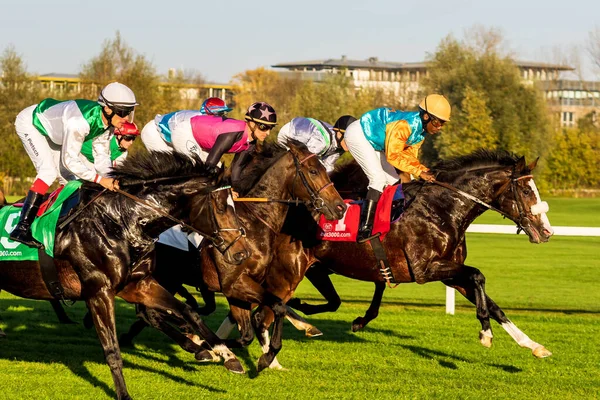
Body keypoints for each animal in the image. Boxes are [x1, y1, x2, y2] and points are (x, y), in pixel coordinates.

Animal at [0, 151, 248, 400]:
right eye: (220, 207)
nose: (242, 252)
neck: (120, 222)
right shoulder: (99, 293)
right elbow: (112, 349)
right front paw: (123, 394)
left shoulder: (139, 284)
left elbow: (188, 311)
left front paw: (226, 355)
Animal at [122, 141, 344, 372]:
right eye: (313, 171)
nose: (340, 207)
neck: (253, 225)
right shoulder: (233, 284)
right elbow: (277, 307)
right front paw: (244, 353)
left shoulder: (241, 289)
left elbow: (248, 333)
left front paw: (225, 350)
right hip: (161, 278)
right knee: (149, 312)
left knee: (150, 313)